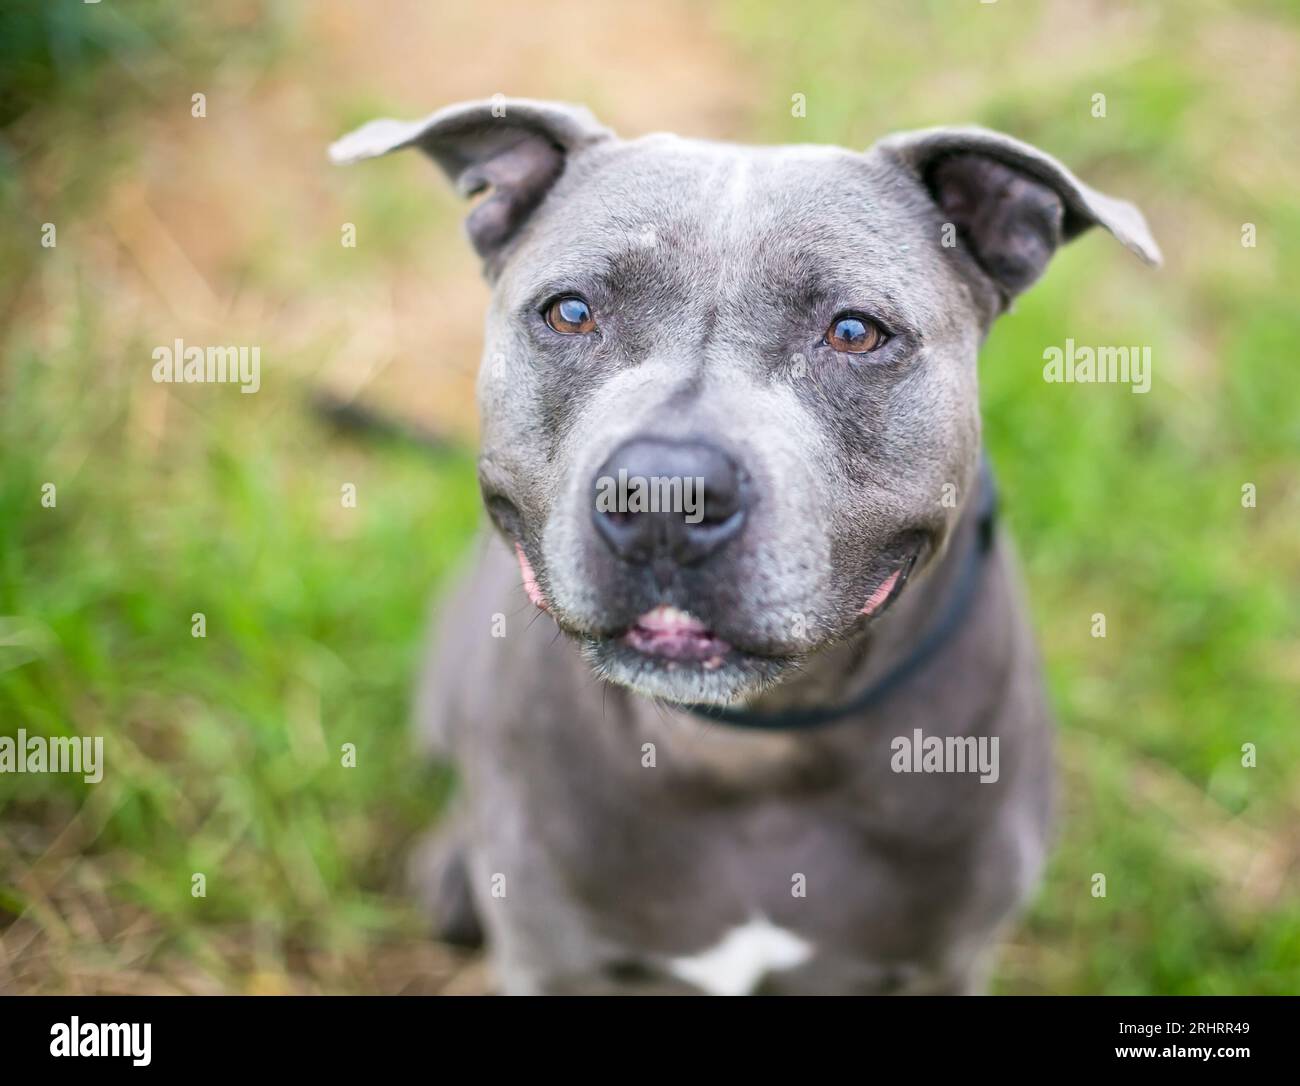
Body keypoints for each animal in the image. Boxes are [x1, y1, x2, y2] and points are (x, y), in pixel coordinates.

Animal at [332, 99, 1159, 993]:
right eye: (570, 313)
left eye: (855, 332)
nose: (665, 497)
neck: (746, 749)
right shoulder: (548, 960)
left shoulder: (949, 964)